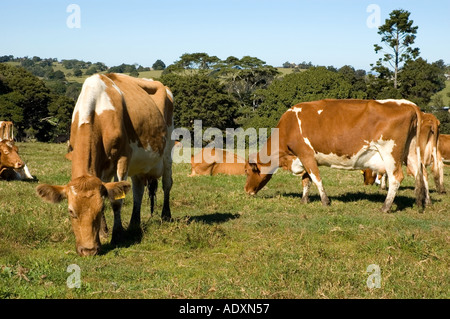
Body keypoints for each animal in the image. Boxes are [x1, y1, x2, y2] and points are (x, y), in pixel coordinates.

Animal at [36, 73, 174, 258]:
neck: (98, 110)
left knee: (167, 184)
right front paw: (103, 233)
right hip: (138, 164)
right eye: (71, 211)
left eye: (100, 208)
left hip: (168, 150)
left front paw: (117, 234)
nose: (88, 250)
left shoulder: (123, 157)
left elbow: (116, 200)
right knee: (137, 190)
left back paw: (166, 216)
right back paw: (134, 223)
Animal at [244, 99, 428, 215]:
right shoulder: (302, 158)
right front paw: (304, 200)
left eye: (247, 171)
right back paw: (422, 203)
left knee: (396, 177)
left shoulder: (306, 154)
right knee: (419, 173)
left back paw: (386, 207)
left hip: (390, 153)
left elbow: (316, 179)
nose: (246, 190)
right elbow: (306, 180)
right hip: (411, 152)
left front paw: (325, 201)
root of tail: (409, 104)